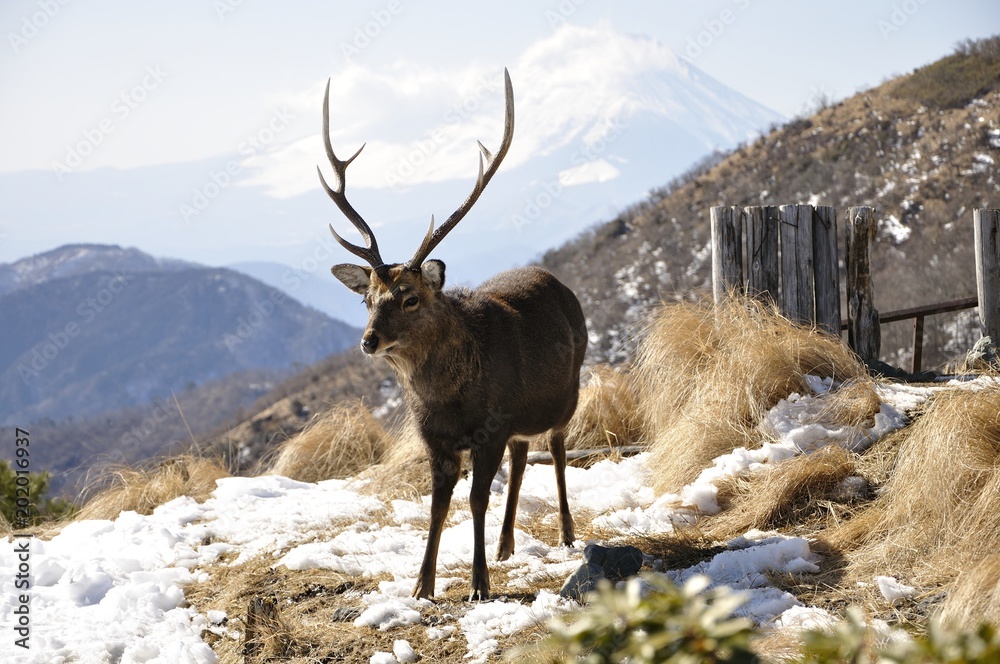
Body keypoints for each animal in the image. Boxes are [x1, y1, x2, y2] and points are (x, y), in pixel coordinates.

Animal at [318, 69, 587, 601]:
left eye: (410, 298)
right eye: (367, 298)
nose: (369, 341)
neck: (449, 401)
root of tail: (559, 283)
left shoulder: (490, 427)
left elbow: (477, 500)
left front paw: (478, 584)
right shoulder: (435, 439)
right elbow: (438, 505)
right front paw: (421, 585)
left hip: (566, 393)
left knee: (556, 450)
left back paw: (567, 533)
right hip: (519, 419)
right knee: (523, 456)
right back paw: (506, 544)